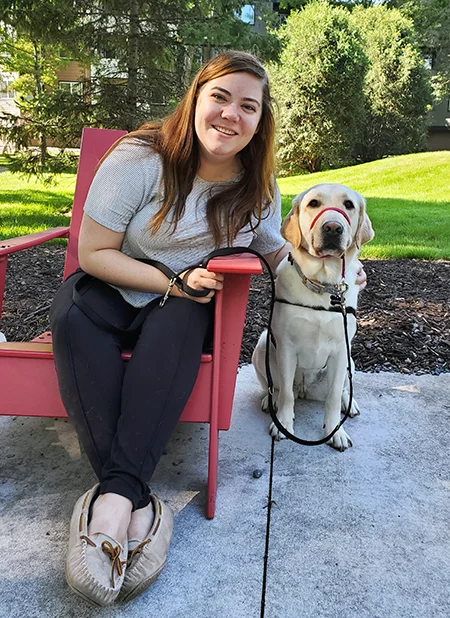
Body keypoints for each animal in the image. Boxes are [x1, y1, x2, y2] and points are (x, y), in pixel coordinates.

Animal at [253, 182, 372, 448]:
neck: (323, 284)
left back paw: (350, 403)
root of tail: (305, 390)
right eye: (313, 203)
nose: (333, 227)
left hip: (350, 361)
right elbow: (286, 394)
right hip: (263, 345)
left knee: (342, 390)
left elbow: (333, 397)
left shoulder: (341, 349)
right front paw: (284, 425)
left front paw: (335, 431)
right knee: (275, 388)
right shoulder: (286, 346)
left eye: (348, 204)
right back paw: (269, 400)